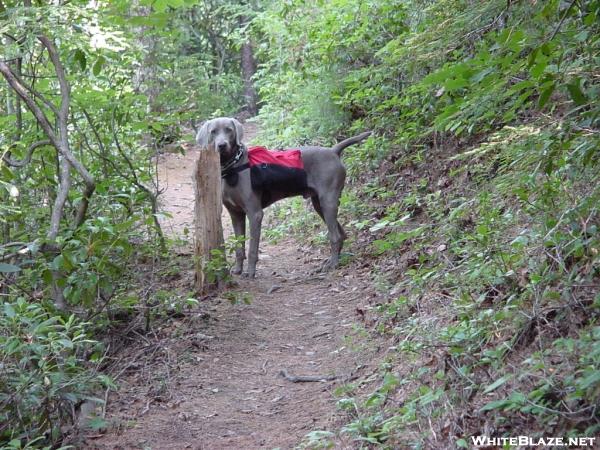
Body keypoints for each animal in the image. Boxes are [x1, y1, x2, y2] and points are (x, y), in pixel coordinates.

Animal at [196, 118, 370, 276]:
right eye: (213, 132)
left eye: (229, 130)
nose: (221, 145)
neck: (233, 167)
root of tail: (333, 151)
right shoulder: (236, 214)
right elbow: (239, 247)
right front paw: (238, 269)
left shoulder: (255, 214)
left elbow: (252, 248)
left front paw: (250, 272)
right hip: (319, 204)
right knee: (342, 234)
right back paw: (332, 261)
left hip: (328, 201)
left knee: (335, 236)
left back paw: (333, 264)